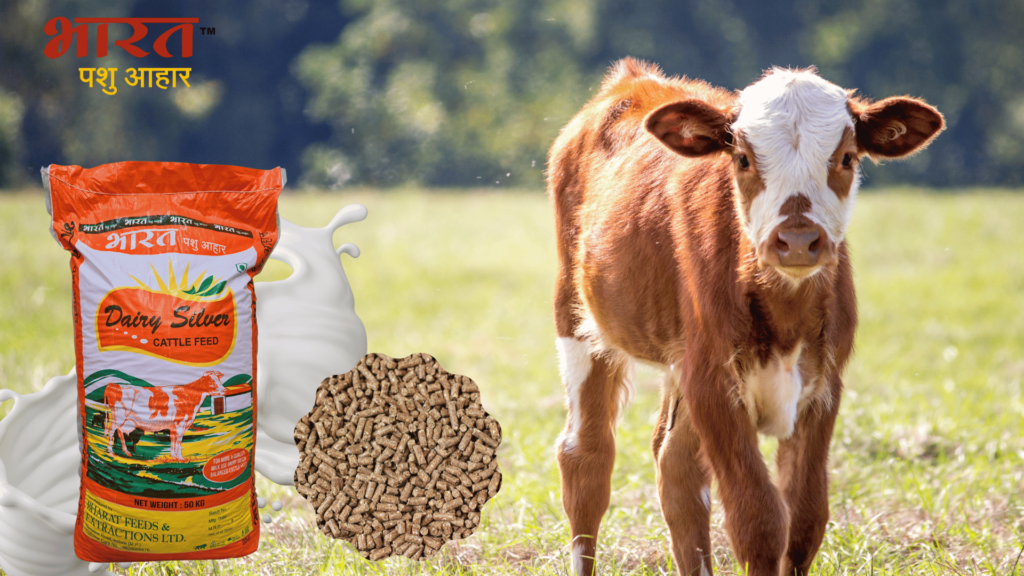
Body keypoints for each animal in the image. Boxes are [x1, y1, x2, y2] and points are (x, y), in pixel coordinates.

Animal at [548, 58, 943, 576]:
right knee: (586, 457)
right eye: (742, 159)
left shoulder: (823, 385)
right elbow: (757, 517)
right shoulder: (712, 382)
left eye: (846, 158)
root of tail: (634, 80)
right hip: (576, 317)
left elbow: (804, 516)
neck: (786, 314)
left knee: (675, 466)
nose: (797, 240)